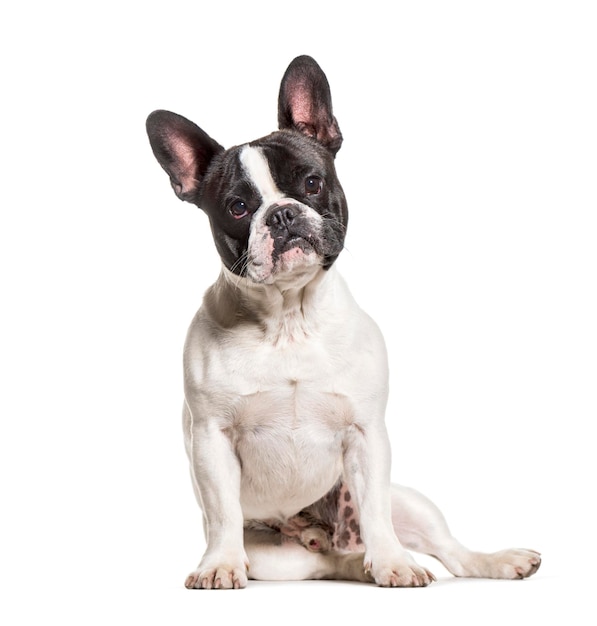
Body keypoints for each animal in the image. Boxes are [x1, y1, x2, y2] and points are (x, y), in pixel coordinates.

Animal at [146, 53, 540, 584]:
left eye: (312, 183)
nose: (281, 214)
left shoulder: (366, 432)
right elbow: (223, 511)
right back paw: (340, 555)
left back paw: (485, 560)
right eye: (238, 207)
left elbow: (374, 508)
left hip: (411, 504)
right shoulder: (212, 437)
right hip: (279, 559)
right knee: (327, 559)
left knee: (443, 547)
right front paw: (221, 564)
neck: (289, 319)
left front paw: (393, 562)